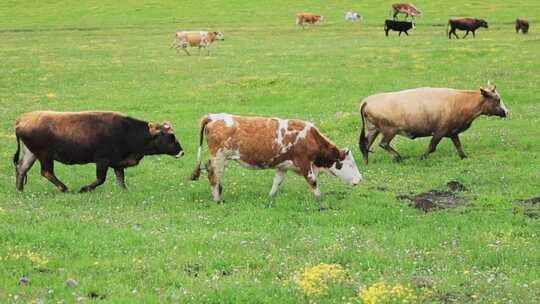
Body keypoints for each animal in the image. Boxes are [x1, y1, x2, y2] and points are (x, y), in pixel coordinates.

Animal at [12, 111, 185, 192]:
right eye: (170, 136)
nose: (182, 152)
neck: (126, 131)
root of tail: (22, 119)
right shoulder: (102, 160)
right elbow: (100, 179)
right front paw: (84, 189)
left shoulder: (117, 163)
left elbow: (121, 179)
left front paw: (124, 191)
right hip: (45, 155)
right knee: (47, 172)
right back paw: (64, 188)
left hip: (31, 153)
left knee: (22, 168)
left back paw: (20, 190)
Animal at [190, 114, 362, 202]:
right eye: (351, 165)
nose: (360, 180)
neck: (310, 137)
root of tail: (212, 117)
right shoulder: (305, 164)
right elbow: (313, 182)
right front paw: (320, 199)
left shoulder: (282, 166)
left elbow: (276, 182)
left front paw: (270, 197)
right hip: (219, 158)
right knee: (214, 176)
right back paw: (218, 199)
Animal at [360, 79, 508, 163]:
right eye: (498, 99)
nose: (507, 112)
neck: (459, 102)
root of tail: (367, 101)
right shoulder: (439, 132)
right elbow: (432, 147)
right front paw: (422, 157)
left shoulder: (452, 132)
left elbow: (458, 146)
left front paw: (464, 157)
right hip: (390, 130)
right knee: (383, 144)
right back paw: (398, 157)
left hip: (373, 129)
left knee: (365, 145)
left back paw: (366, 162)